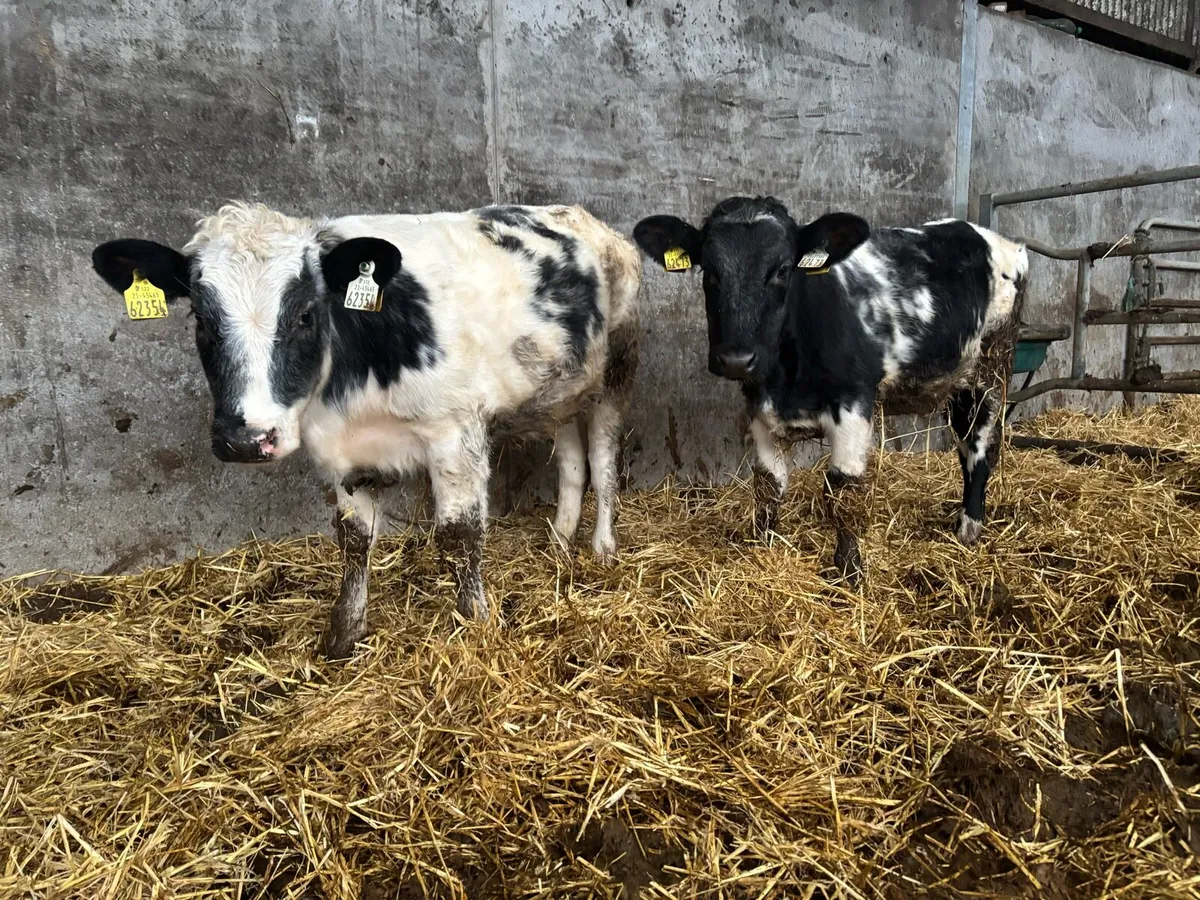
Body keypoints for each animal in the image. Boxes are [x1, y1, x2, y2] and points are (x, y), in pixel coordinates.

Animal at [92, 202, 641, 658]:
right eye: (201, 320)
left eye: (305, 315)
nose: (247, 438)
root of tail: (582, 217)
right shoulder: (338, 452)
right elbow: (353, 539)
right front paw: (343, 635)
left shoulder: (456, 432)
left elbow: (459, 534)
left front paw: (476, 629)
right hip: (559, 391)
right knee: (571, 460)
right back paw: (560, 541)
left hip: (616, 370)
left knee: (603, 461)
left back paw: (602, 548)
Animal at [633, 197, 1027, 583]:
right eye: (710, 272)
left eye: (782, 270)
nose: (736, 359)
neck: (787, 379)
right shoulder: (760, 411)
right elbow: (768, 486)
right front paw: (763, 549)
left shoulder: (854, 405)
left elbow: (842, 490)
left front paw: (849, 573)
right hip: (958, 384)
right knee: (964, 445)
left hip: (991, 370)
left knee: (981, 448)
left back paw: (969, 528)